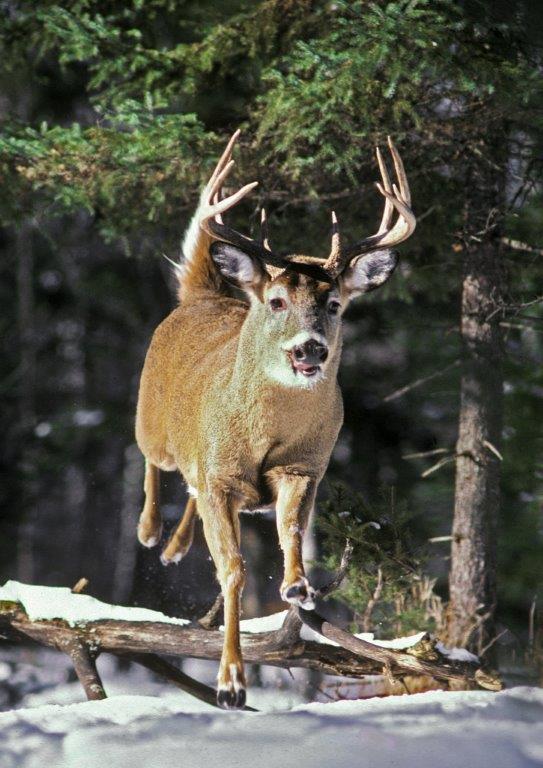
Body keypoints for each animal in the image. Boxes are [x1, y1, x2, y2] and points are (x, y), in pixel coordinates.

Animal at [135, 130, 416, 709]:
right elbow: (233, 572)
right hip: (151, 420)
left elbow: (290, 528)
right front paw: (230, 682)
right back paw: (151, 533)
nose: (310, 348)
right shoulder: (222, 477)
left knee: (190, 491)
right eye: (279, 300)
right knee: (152, 461)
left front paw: (296, 585)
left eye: (334, 304)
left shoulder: (304, 467)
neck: (264, 433)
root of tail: (203, 294)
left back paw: (174, 548)